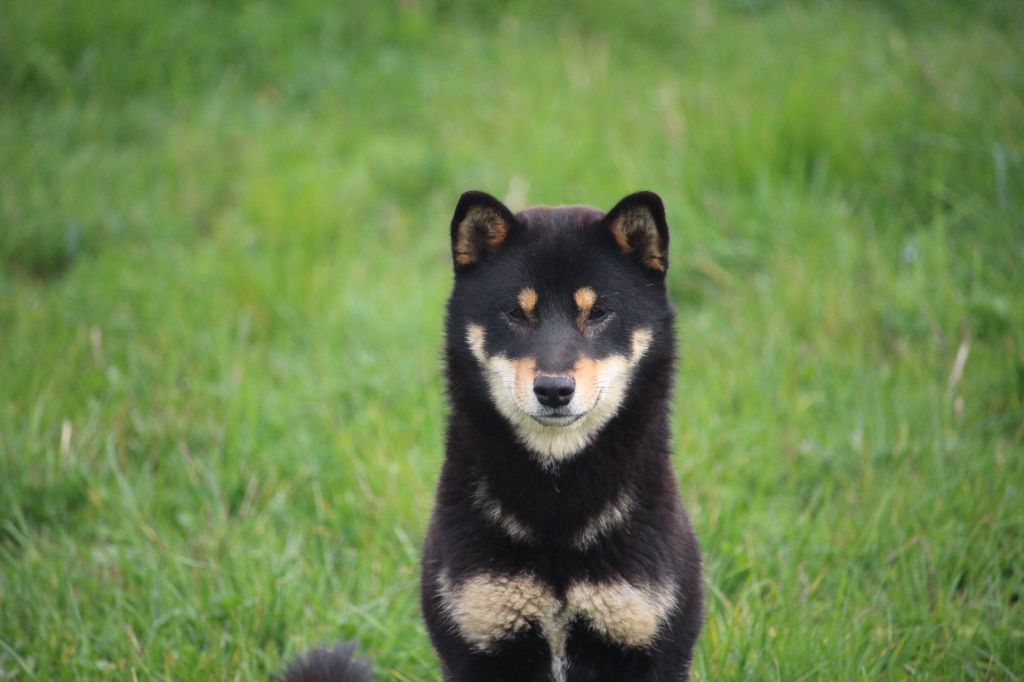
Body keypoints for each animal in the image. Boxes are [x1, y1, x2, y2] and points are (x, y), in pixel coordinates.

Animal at [282, 189, 704, 679]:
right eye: (517, 313)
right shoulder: (478, 637)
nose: (554, 389)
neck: (557, 506)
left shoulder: (648, 638)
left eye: (598, 312)